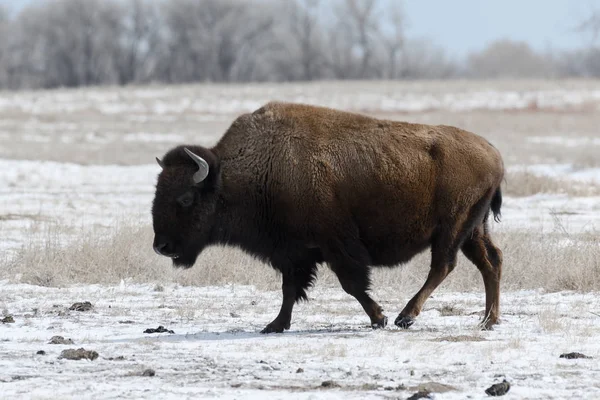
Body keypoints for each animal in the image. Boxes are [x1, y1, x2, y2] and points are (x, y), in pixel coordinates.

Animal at [152, 101, 504, 332]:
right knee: (491, 262)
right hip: (474, 229)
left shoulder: (335, 245)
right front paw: (275, 325)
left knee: (444, 265)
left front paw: (379, 318)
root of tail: (493, 153)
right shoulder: (293, 253)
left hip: (452, 227)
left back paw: (406, 316)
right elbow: (290, 289)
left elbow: (351, 284)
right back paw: (488, 320)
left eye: (185, 198)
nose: (161, 246)